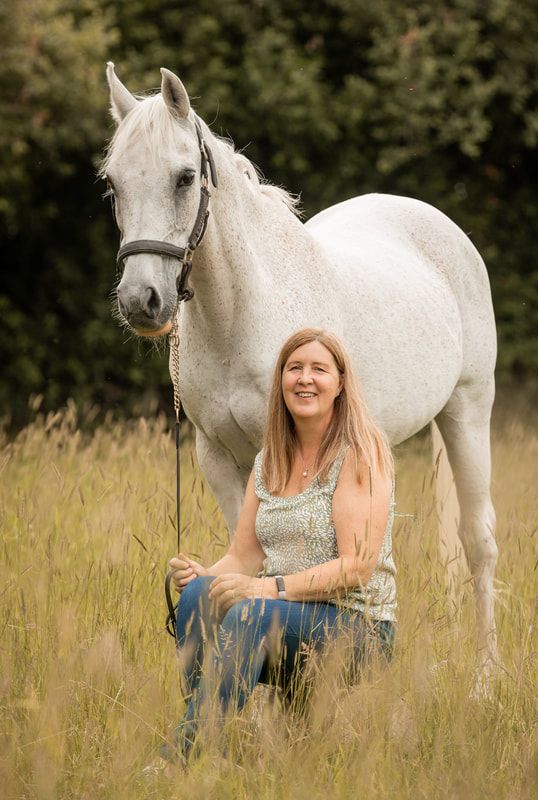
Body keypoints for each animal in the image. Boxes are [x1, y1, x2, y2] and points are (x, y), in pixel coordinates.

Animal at [102, 63, 499, 684]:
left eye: (185, 178)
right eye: (113, 185)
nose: (142, 302)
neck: (241, 312)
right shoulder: (219, 456)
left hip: (469, 411)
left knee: (478, 541)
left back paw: (484, 678)